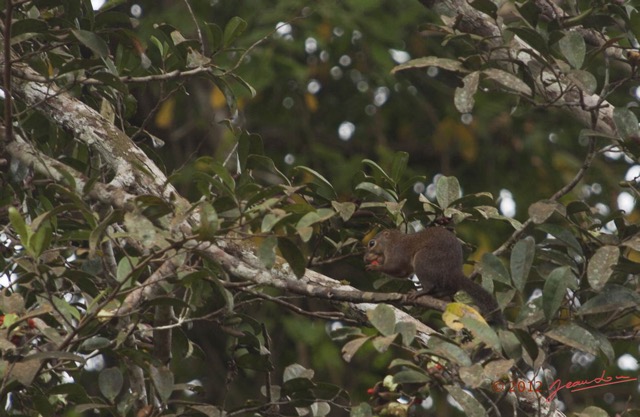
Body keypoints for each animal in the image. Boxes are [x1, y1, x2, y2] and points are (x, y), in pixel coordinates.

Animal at [364, 224, 504, 324]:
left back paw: (421, 292)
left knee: (430, 286)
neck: (392, 242)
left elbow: (396, 268)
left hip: (424, 259)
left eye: (372, 243)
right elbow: (404, 272)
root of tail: (454, 271)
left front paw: (374, 266)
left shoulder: (398, 251)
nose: (365, 258)